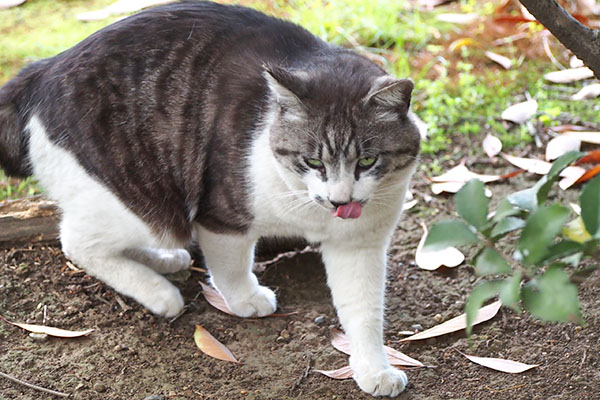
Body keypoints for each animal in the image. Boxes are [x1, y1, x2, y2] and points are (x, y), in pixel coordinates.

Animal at [0, 0, 420, 396]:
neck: (309, 210)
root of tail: (42, 70)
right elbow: (230, 267)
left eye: (367, 161)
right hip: (146, 203)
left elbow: (364, 311)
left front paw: (374, 369)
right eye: (312, 161)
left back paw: (164, 261)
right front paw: (245, 299)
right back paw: (159, 293)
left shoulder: (359, 246)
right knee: (76, 241)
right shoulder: (222, 216)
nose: (339, 200)